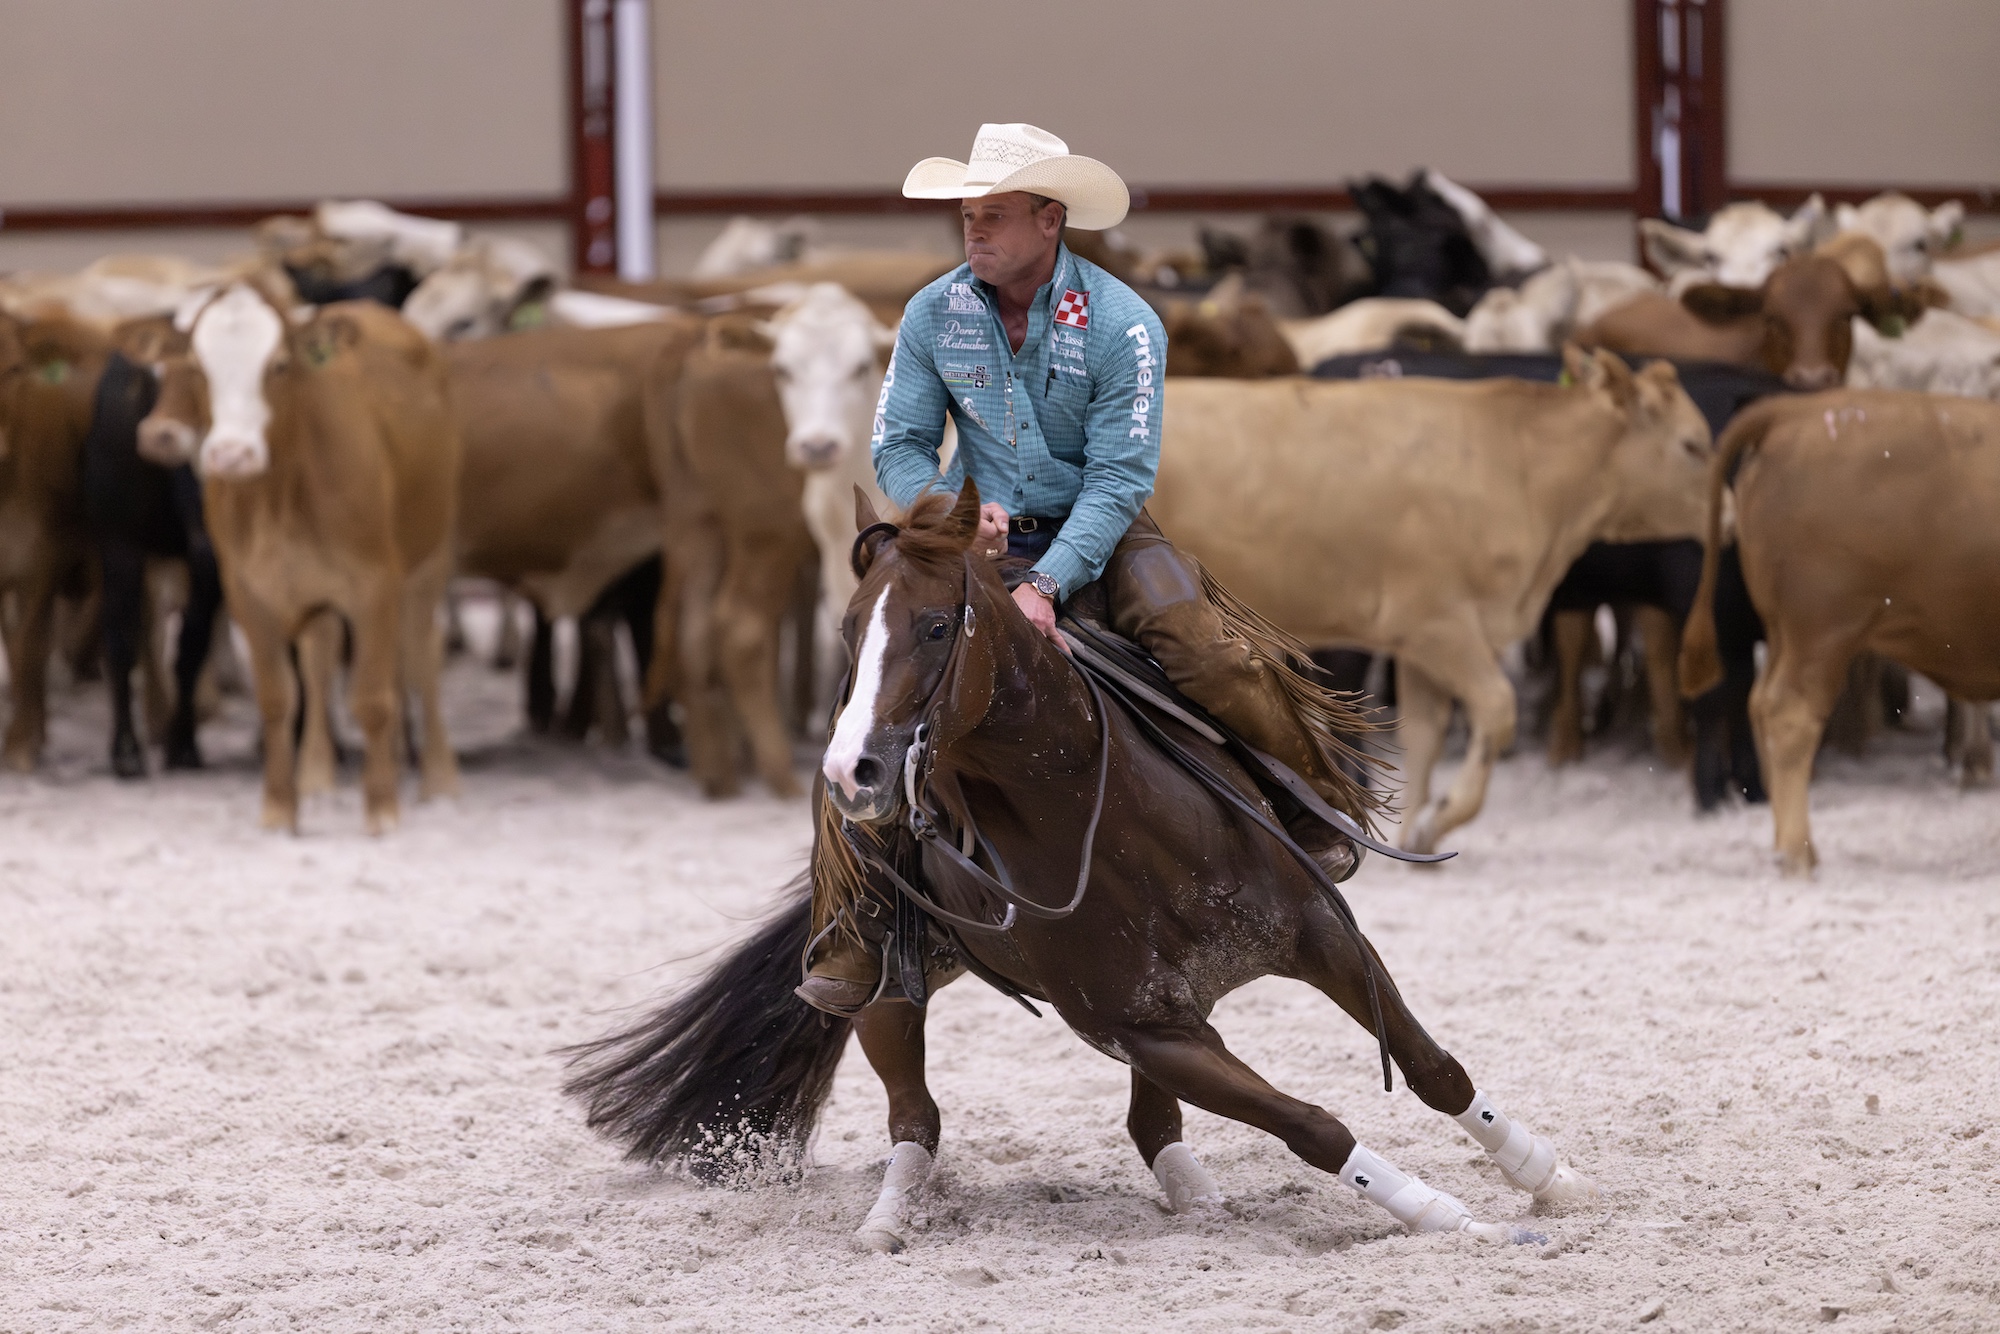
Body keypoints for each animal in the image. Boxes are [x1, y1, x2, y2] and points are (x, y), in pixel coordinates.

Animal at [565, 482, 1596, 1251]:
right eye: (849, 631)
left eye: (936, 627)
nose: (852, 773)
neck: (1116, 824)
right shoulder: (1142, 1029)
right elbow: (1315, 1124)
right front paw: (1447, 1215)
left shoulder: (1316, 937)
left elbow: (1432, 1068)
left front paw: (1546, 1177)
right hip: (892, 983)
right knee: (917, 1117)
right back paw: (888, 1219)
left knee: (1152, 1127)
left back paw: (1198, 1203)